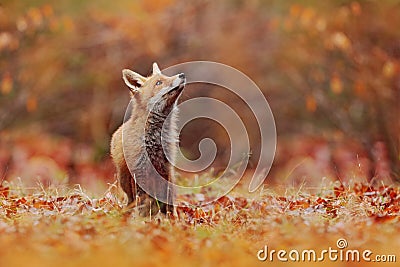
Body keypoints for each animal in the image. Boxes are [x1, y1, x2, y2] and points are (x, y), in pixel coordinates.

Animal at [109, 63, 184, 218]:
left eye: (166, 76)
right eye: (159, 83)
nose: (182, 75)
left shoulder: (165, 168)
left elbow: (168, 200)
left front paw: (171, 219)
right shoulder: (139, 170)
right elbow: (142, 201)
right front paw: (144, 219)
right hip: (124, 179)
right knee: (131, 199)